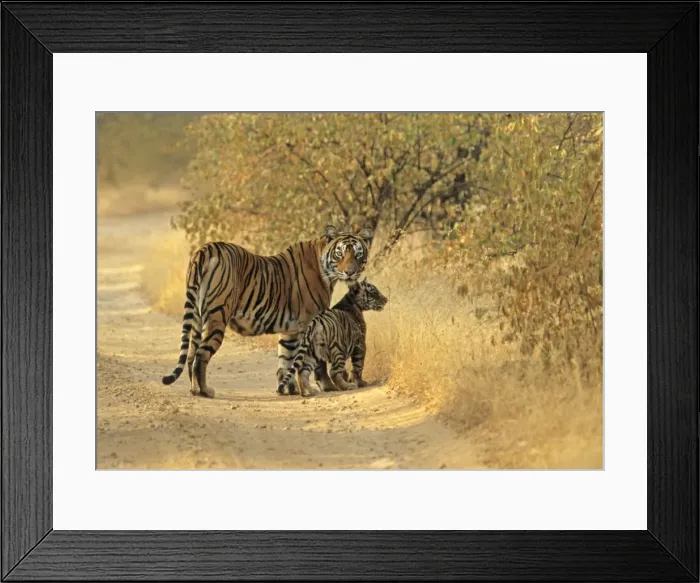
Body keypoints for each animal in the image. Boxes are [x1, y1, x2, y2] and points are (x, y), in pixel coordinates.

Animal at [161, 225, 373, 398]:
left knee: (190, 354)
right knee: (200, 355)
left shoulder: (291, 330)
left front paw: (287, 389)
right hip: (217, 316)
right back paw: (206, 391)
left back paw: (195, 390)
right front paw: (326, 386)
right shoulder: (313, 323)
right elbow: (315, 361)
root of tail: (206, 249)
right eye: (340, 254)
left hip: (197, 317)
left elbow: (286, 359)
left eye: (358, 254)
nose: (350, 272)